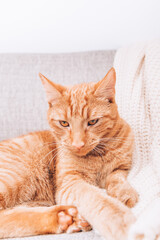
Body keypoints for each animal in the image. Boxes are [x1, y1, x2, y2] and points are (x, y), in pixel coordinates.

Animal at [0, 68, 138, 239]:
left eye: (93, 122)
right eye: (64, 123)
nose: (78, 144)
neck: (99, 154)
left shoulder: (122, 167)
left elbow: (116, 178)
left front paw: (124, 193)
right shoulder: (70, 182)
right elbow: (98, 199)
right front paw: (121, 222)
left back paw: (65, 218)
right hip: (15, 177)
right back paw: (65, 217)